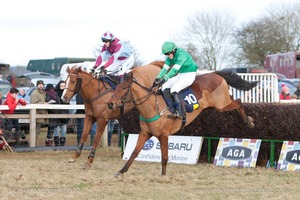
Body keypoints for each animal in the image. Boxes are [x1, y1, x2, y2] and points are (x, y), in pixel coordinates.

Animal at [107, 66, 258, 176]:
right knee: (235, 99)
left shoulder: (163, 135)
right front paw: (121, 171)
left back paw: (248, 121)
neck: (153, 106)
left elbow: (164, 157)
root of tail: (215, 73)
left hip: (221, 105)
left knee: (239, 102)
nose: (110, 104)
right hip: (220, 104)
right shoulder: (145, 133)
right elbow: (134, 152)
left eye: (124, 88)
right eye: (116, 87)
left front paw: (163, 175)